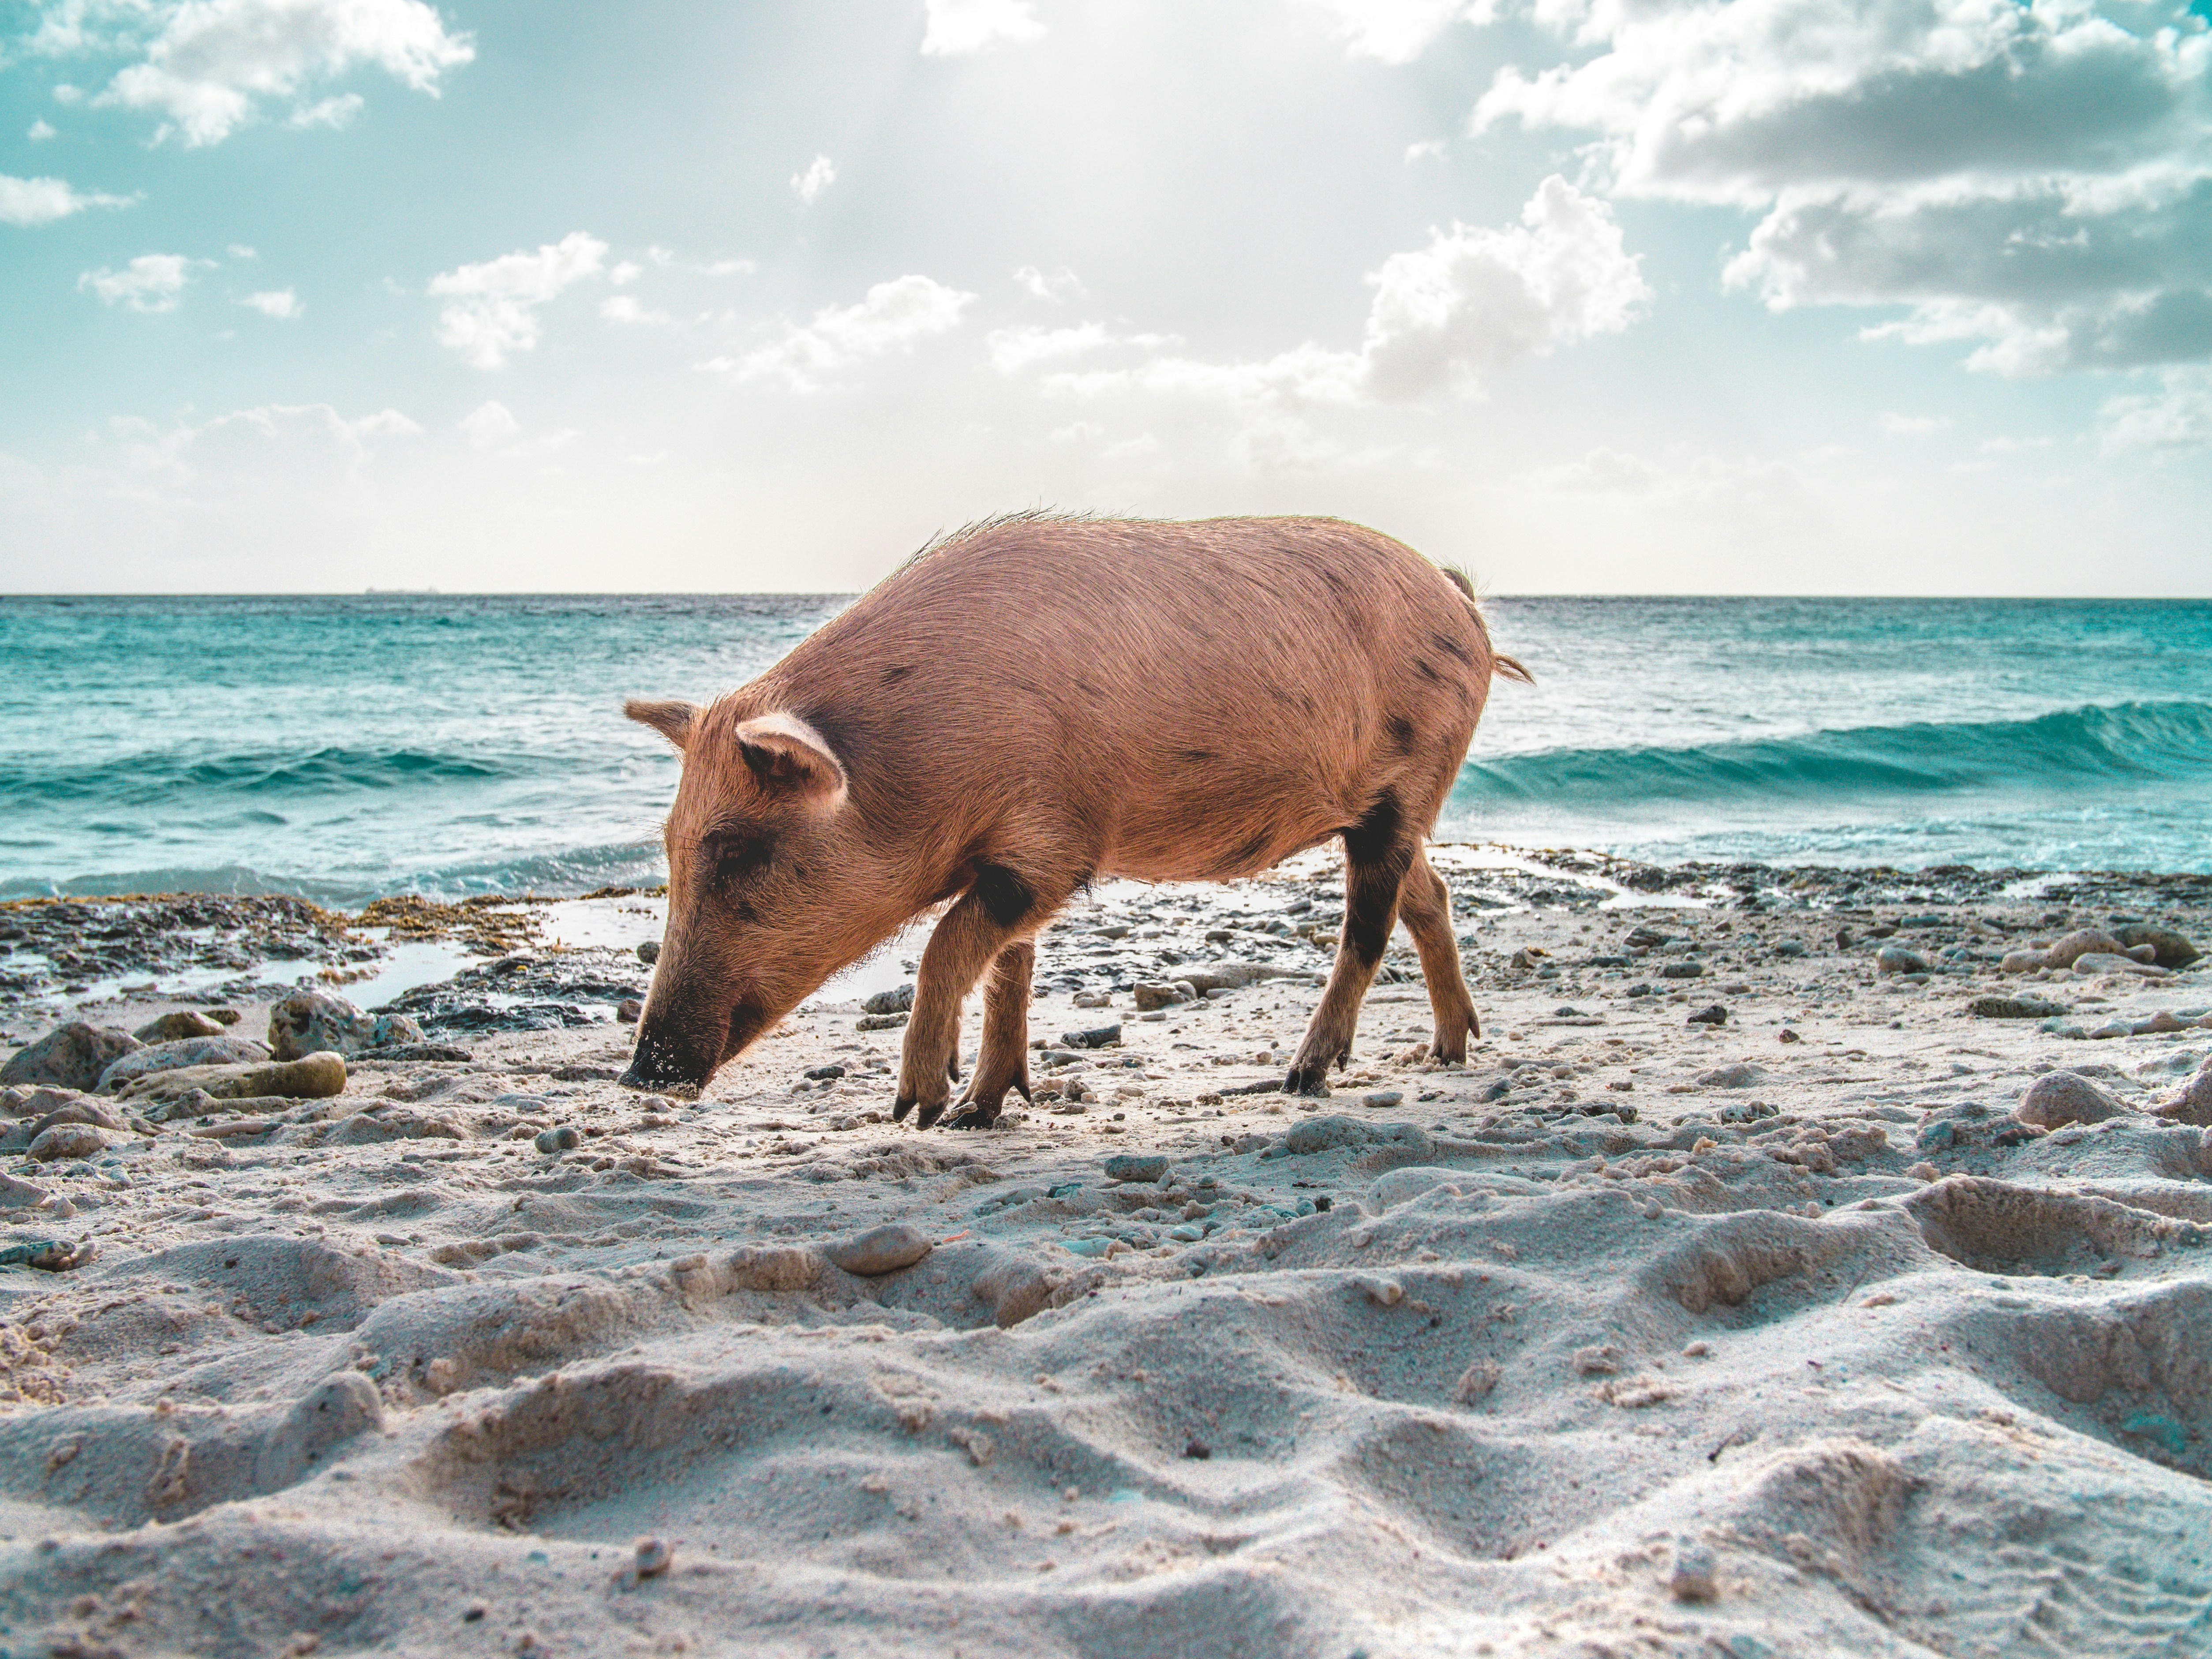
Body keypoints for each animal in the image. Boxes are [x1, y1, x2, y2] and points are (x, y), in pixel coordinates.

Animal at [620, 513, 1529, 1125]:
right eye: (669, 849)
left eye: (737, 850)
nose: (641, 1075)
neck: (918, 758)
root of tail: (1458, 596)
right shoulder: (1012, 860)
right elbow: (1007, 965)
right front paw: (975, 1114)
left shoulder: (1054, 844)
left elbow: (949, 942)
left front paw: (916, 1107)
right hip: (1388, 808)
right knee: (1429, 895)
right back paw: (1449, 1049)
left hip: (1409, 779)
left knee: (1368, 925)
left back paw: (1304, 1077)